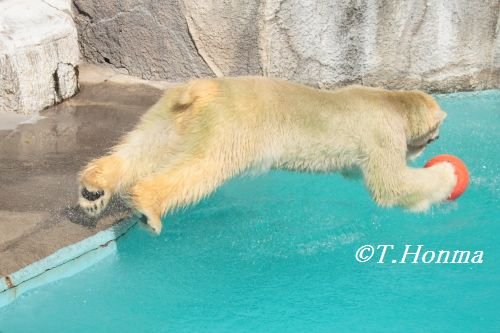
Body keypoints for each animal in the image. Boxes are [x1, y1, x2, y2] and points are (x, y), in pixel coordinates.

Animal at [78, 77, 458, 233]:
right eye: (432, 138)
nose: (429, 145)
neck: (391, 101)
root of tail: (202, 89)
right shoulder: (381, 133)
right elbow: (390, 185)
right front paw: (448, 176)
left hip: (170, 112)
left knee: (145, 145)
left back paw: (93, 189)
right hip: (231, 125)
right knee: (204, 166)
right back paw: (148, 208)